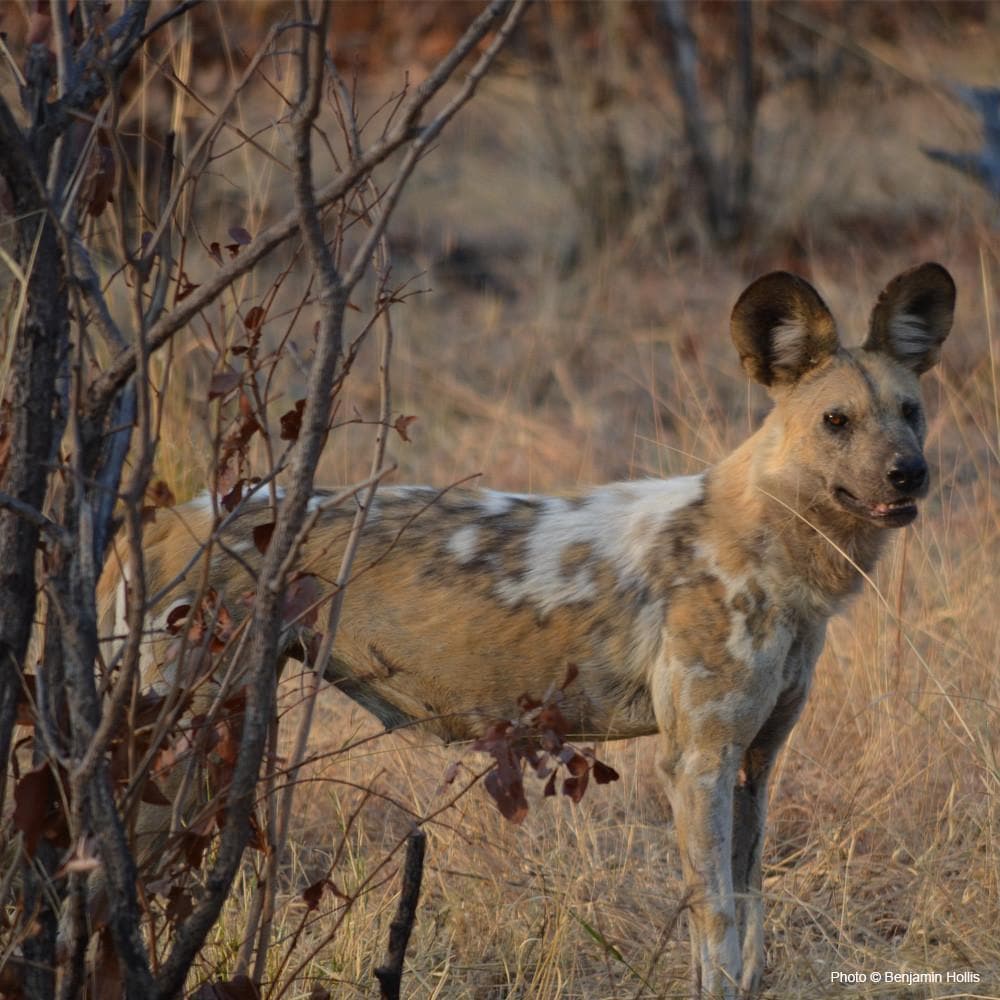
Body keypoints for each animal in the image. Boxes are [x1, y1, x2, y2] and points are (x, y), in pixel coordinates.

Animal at [101, 262, 952, 996]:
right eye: (836, 421)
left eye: (911, 414)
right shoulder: (698, 762)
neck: (767, 545)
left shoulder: (753, 766)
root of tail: (165, 522)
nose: (910, 474)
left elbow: (749, 927)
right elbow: (716, 929)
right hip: (182, 748)